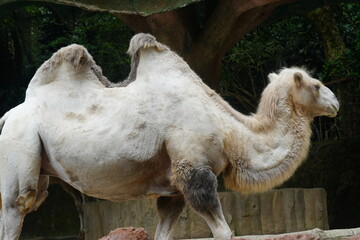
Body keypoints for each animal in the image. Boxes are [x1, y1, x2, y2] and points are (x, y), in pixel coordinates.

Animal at [0, 33, 338, 240]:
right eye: (316, 84)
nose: (336, 102)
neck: (230, 130)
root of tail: (7, 116)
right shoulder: (194, 167)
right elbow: (224, 231)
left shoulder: (173, 189)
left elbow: (164, 230)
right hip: (20, 144)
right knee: (17, 206)